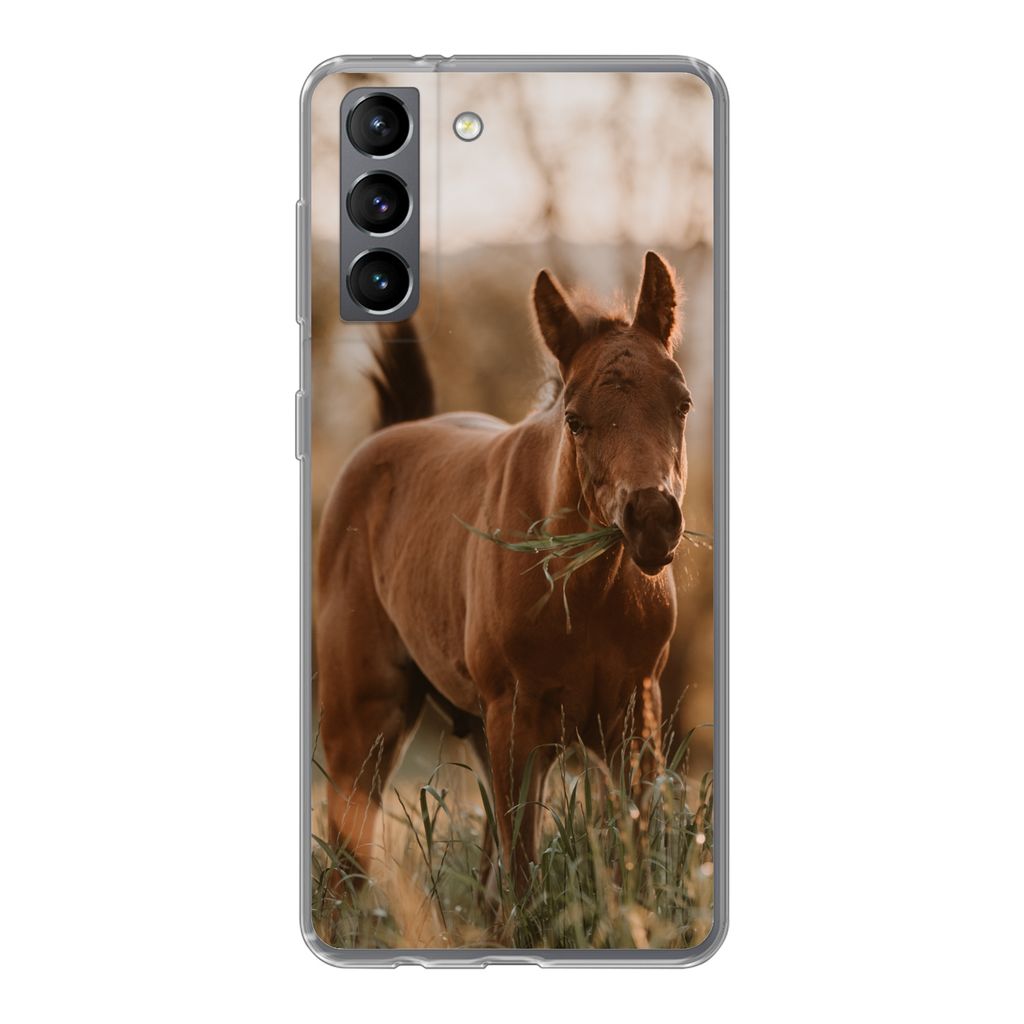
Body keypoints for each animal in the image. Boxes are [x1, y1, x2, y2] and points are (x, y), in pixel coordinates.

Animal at [315, 251, 692, 893]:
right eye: (574, 419)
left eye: (683, 403)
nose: (652, 520)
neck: (586, 596)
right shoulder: (518, 721)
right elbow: (524, 874)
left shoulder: (635, 721)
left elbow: (637, 860)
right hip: (363, 724)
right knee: (347, 865)